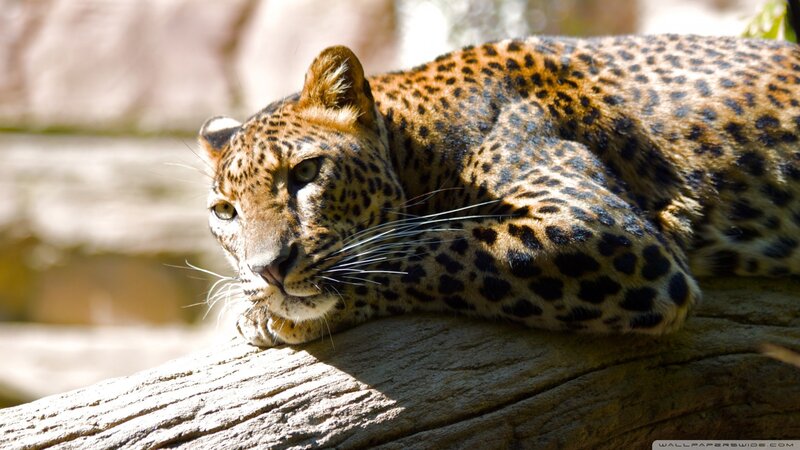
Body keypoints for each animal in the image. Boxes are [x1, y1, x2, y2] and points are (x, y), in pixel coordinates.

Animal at [198, 34, 800, 347]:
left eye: (305, 173)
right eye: (225, 212)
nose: (268, 270)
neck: (420, 143)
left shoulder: (600, 227)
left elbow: (437, 247)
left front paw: (272, 314)